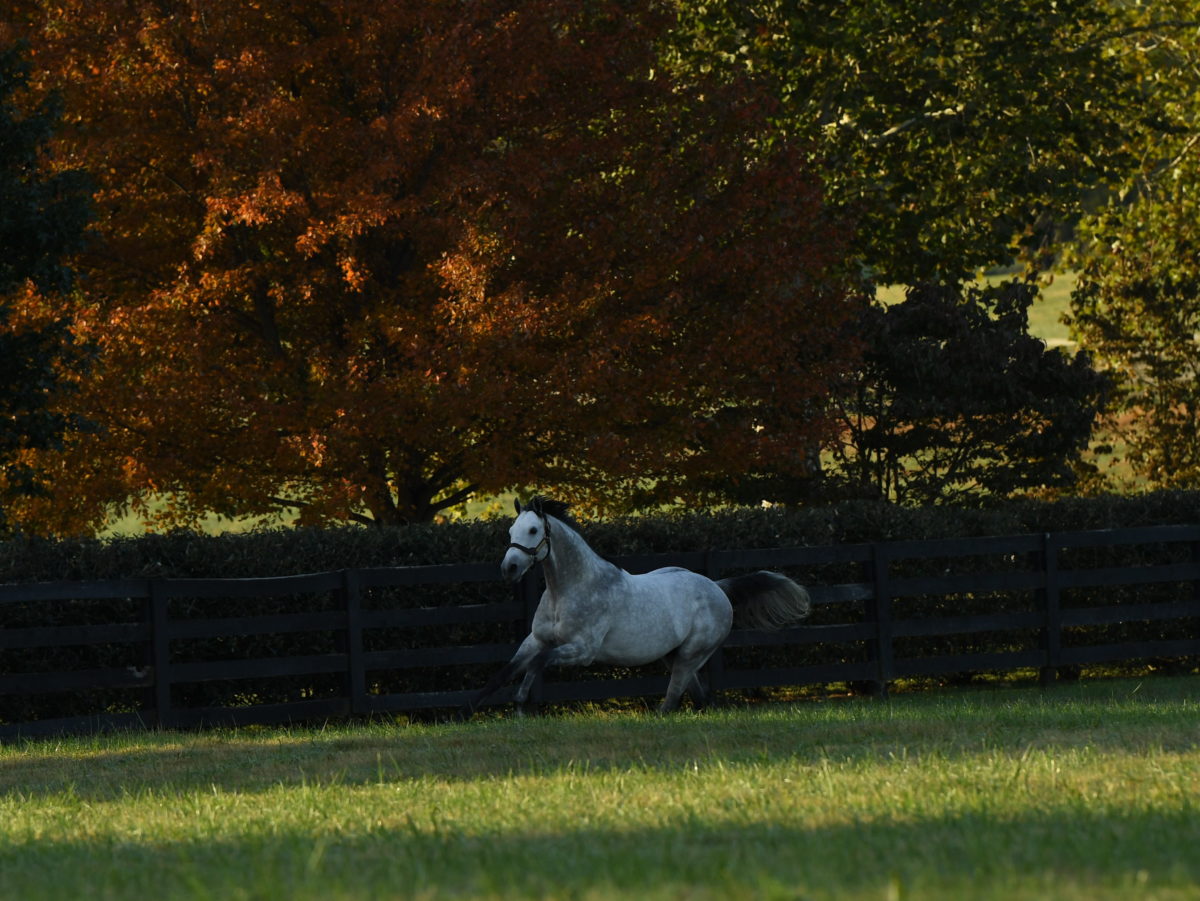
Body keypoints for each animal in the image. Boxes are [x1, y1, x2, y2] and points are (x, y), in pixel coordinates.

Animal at [463, 496, 811, 715]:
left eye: (534, 530)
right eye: (511, 531)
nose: (509, 568)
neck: (570, 589)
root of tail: (717, 587)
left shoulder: (582, 651)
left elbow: (537, 664)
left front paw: (521, 705)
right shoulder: (535, 639)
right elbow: (504, 672)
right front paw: (469, 710)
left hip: (691, 654)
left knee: (673, 699)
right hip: (674, 655)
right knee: (699, 698)